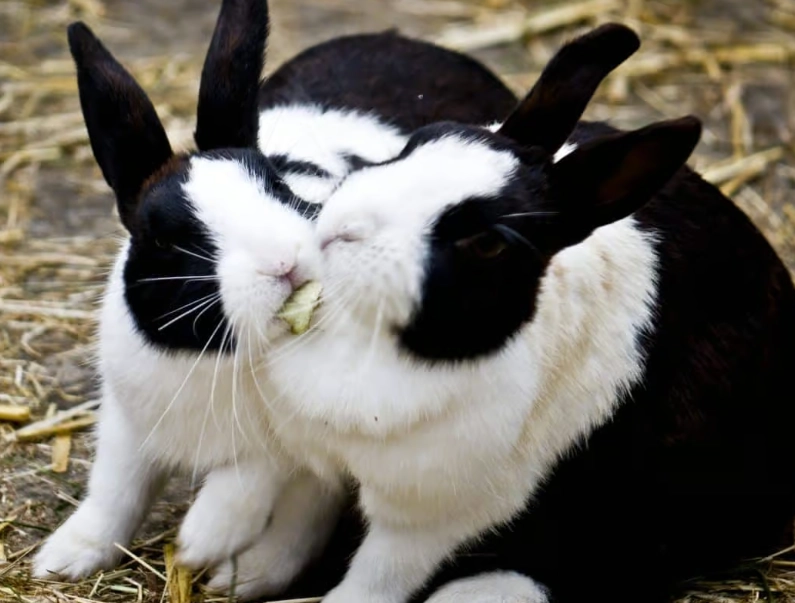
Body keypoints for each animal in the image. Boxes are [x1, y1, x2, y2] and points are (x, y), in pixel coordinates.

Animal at [32, 0, 519, 598]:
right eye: (164, 238)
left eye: (276, 186)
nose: (284, 263)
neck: (220, 356)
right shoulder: (128, 424)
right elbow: (114, 495)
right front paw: (63, 558)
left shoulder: (300, 451)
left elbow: (250, 479)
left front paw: (203, 542)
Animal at [262, 23, 795, 603]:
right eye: (419, 141)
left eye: (488, 244)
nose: (344, 227)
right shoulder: (313, 463)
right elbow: (288, 526)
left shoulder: (425, 519)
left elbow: (373, 581)